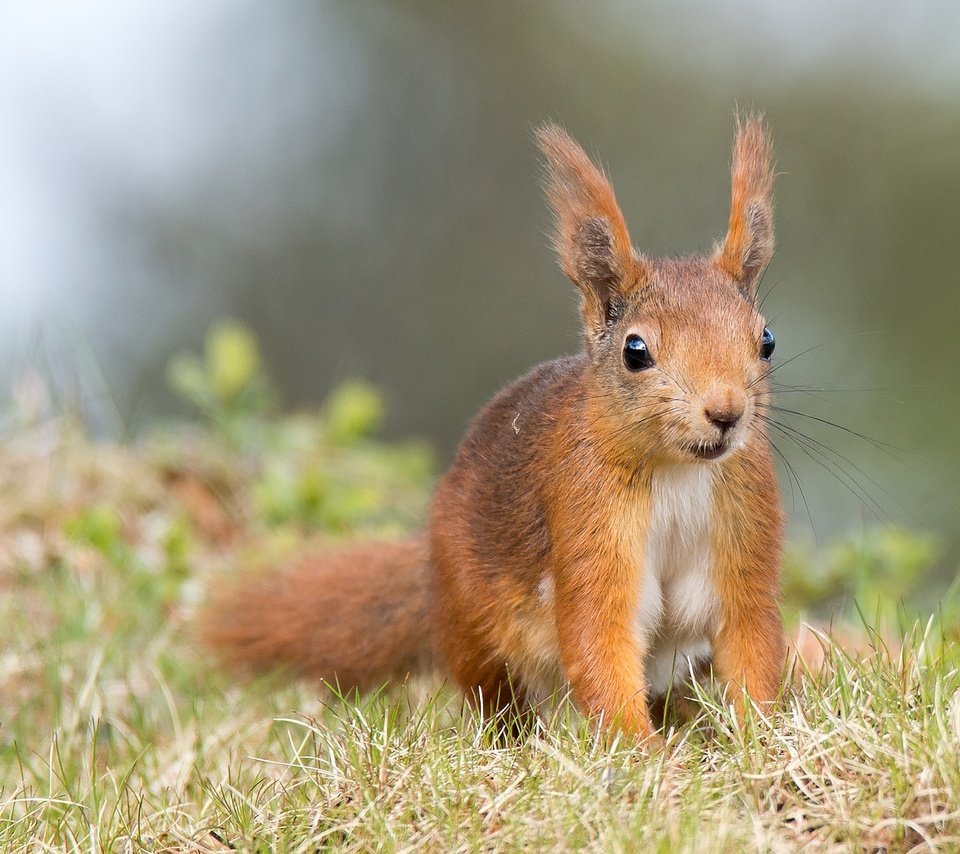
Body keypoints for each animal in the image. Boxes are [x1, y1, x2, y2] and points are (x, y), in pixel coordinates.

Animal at [199, 115, 784, 744]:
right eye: (635, 351)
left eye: (766, 339)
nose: (726, 413)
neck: (679, 470)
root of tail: (430, 571)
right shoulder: (587, 520)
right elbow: (598, 641)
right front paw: (643, 752)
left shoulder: (745, 528)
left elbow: (750, 637)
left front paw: (761, 736)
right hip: (476, 626)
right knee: (498, 697)